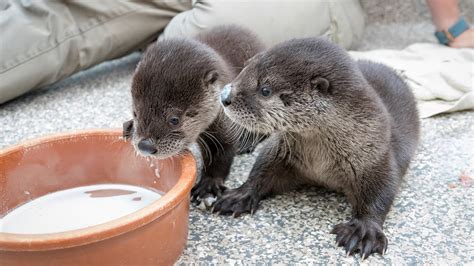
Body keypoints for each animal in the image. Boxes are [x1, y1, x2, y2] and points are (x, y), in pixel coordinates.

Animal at [124, 25, 264, 204]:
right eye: (136, 113)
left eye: (174, 119)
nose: (145, 146)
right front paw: (128, 127)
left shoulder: (223, 122)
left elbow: (223, 151)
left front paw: (208, 184)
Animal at [214, 37, 418, 258]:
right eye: (245, 68)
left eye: (265, 90)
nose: (224, 96)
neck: (320, 162)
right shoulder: (280, 151)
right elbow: (261, 170)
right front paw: (238, 195)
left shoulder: (377, 154)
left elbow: (381, 191)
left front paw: (364, 230)